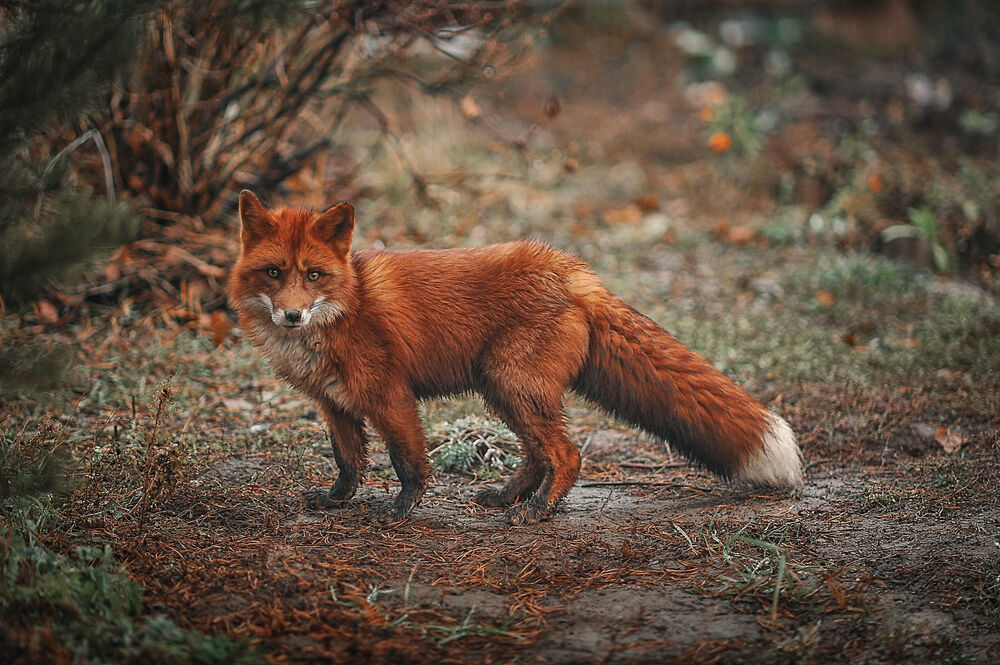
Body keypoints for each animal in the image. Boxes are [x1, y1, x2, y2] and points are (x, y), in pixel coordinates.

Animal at [228, 190, 803, 524]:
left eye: (314, 276)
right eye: (274, 273)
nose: (292, 316)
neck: (348, 304)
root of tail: (571, 270)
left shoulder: (390, 396)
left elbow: (407, 461)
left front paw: (401, 509)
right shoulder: (334, 404)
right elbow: (348, 462)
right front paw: (337, 502)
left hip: (512, 384)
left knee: (566, 454)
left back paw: (543, 510)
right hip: (502, 391)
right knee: (537, 454)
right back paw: (510, 498)